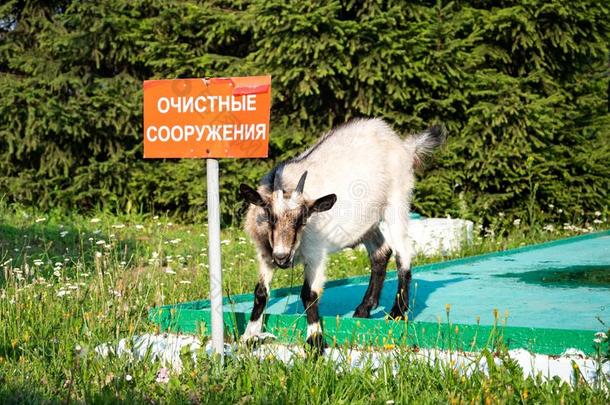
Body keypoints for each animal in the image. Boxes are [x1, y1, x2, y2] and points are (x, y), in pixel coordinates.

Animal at [236, 117, 442, 350]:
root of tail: (404, 146)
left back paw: (396, 312)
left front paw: (315, 341)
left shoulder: (316, 254)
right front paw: (249, 336)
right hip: (366, 223)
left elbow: (309, 294)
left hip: (397, 203)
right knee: (381, 252)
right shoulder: (265, 255)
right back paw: (364, 308)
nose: (282, 257)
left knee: (403, 252)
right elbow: (261, 293)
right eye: (269, 216)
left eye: (303, 218)